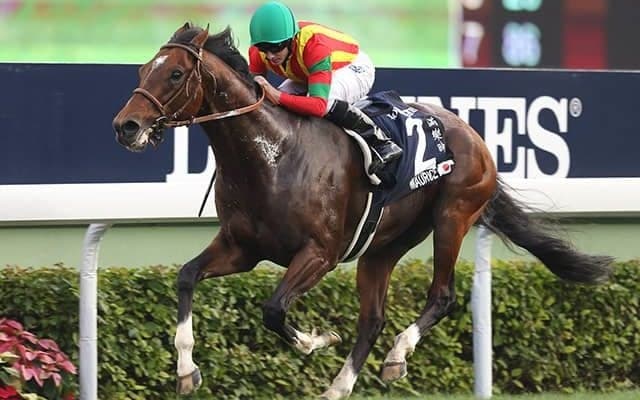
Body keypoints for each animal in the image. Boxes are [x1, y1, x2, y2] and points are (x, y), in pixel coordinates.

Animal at [112, 23, 614, 399]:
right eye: (143, 68)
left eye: (176, 74)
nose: (126, 126)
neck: (272, 156)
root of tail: (475, 136)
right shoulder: (241, 248)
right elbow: (185, 277)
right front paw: (185, 370)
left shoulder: (320, 253)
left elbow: (273, 310)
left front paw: (317, 340)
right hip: (382, 246)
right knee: (372, 319)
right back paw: (340, 387)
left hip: (452, 217)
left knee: (442, 295)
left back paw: (397, 356)